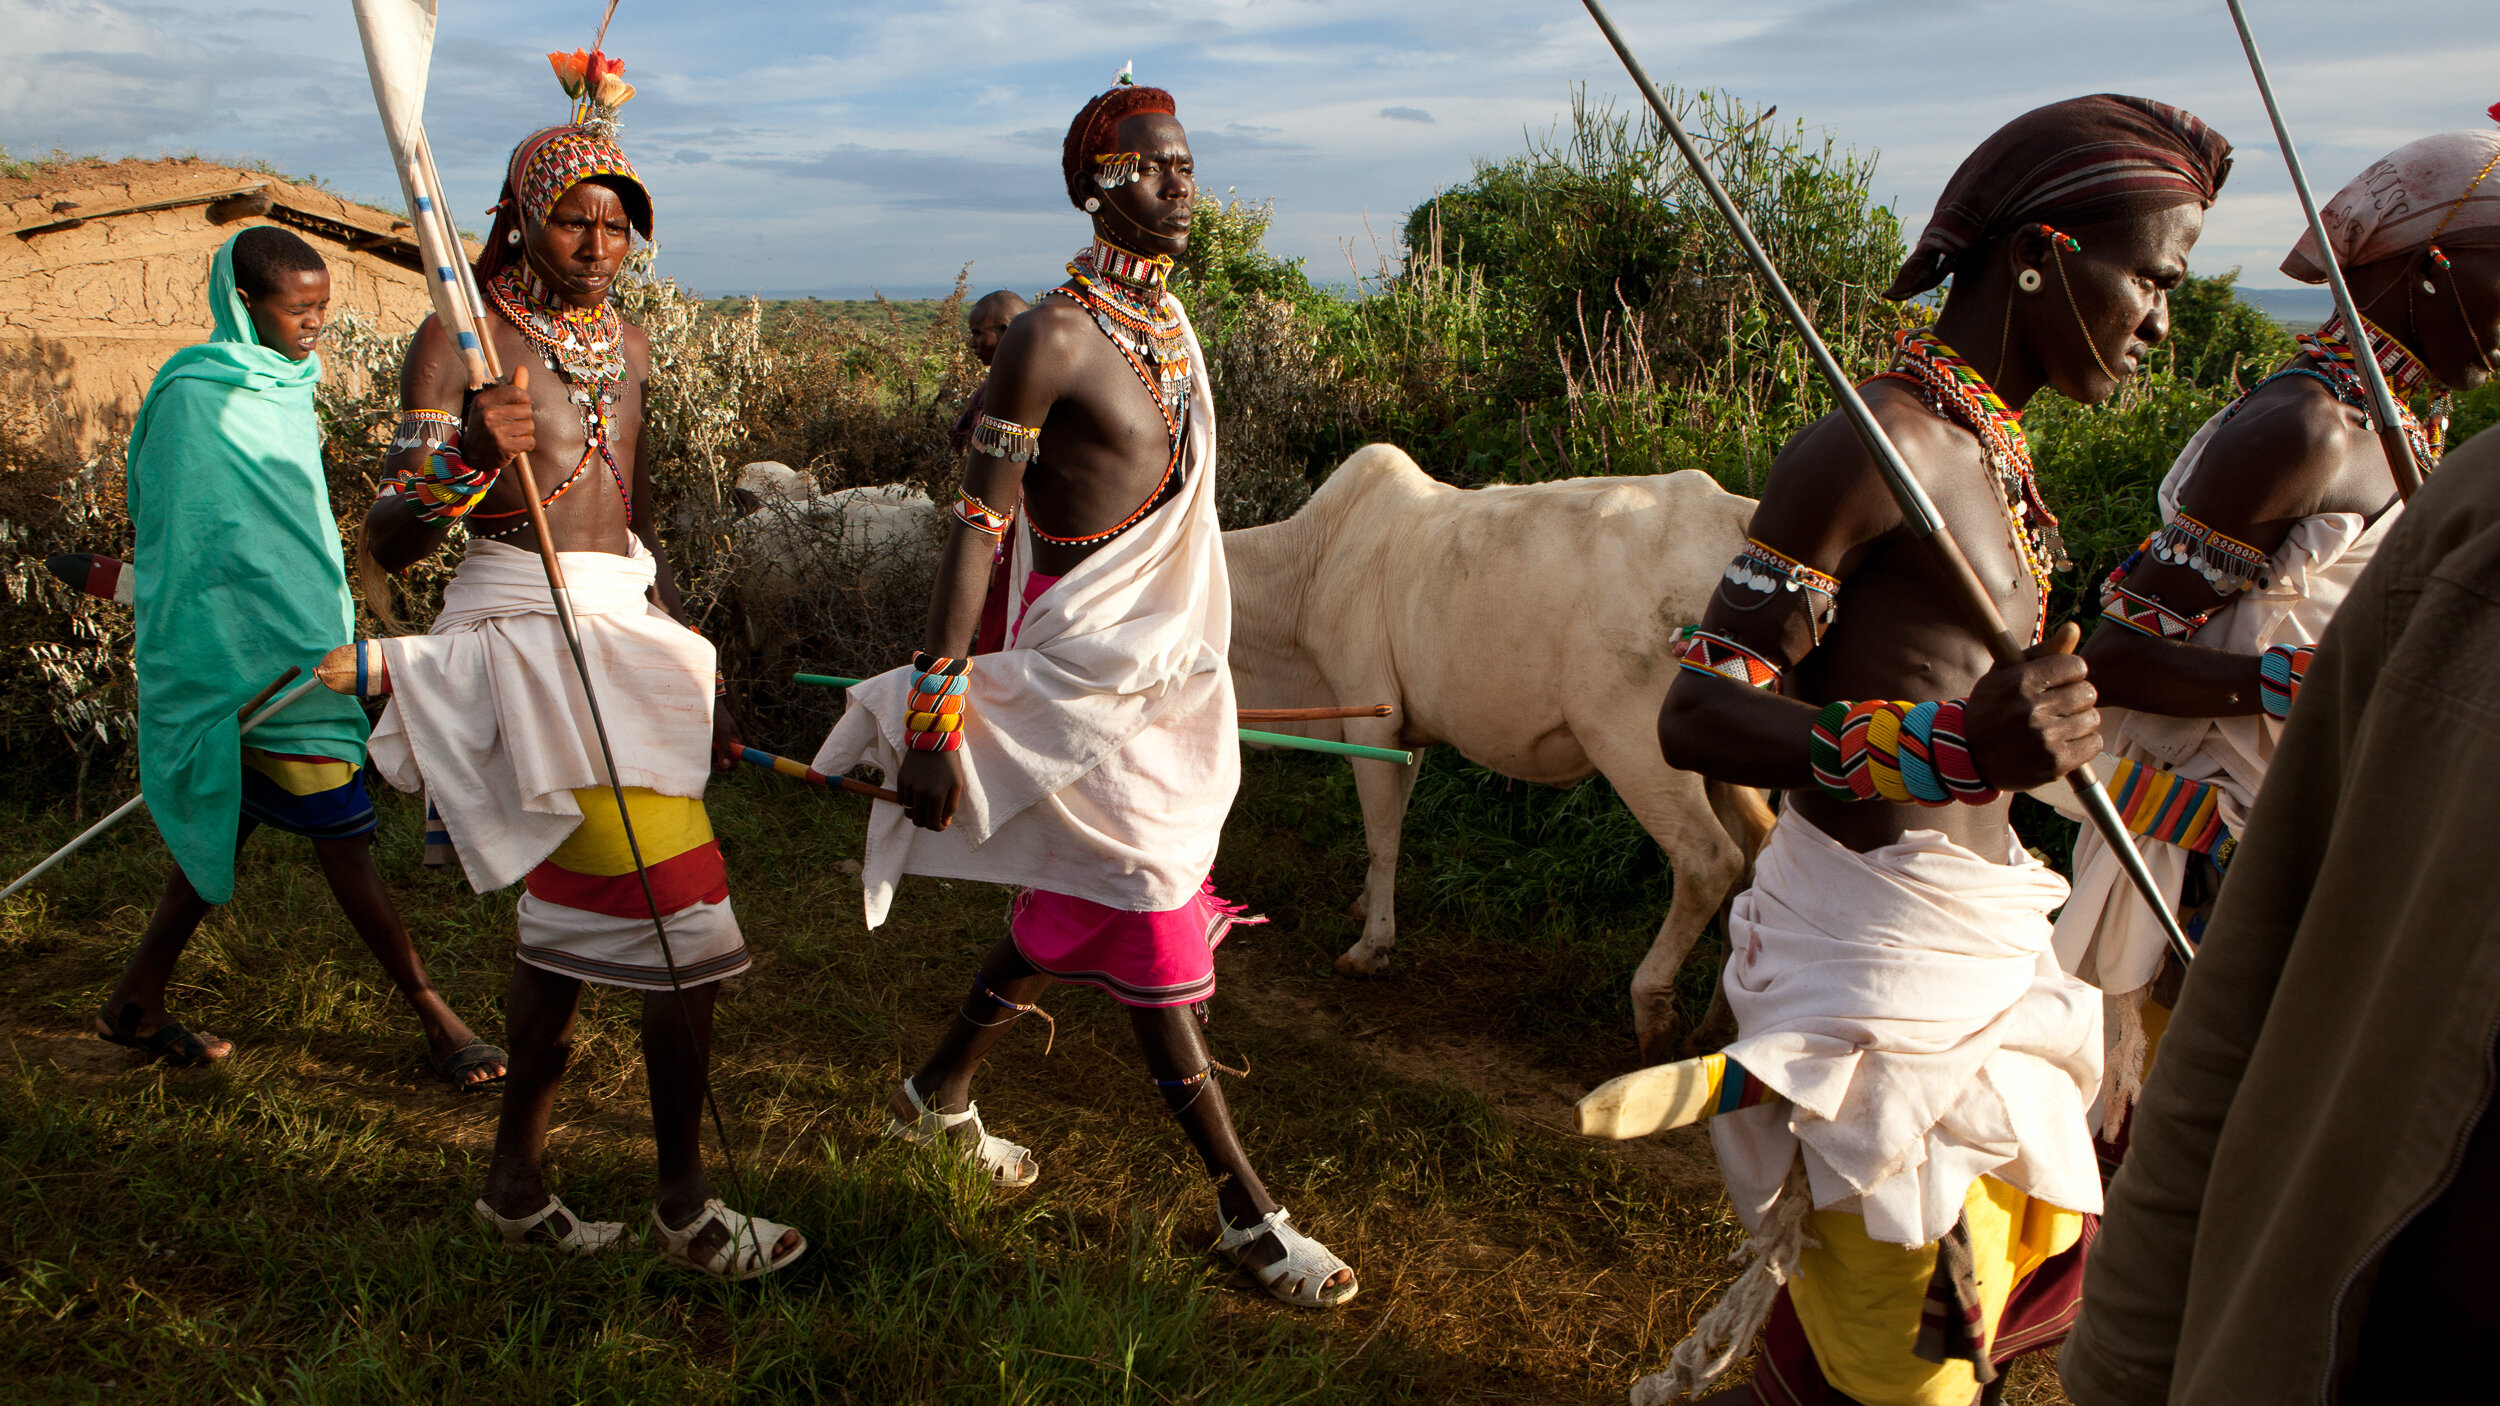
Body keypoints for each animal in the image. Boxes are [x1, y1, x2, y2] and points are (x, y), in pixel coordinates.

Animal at [1220, 442, 1770, 1055]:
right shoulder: (1407, 733)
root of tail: (1733, 512)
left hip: (1634, 743)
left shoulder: (1370, 719)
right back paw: (1719, 1026)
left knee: (1710, 860)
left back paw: (1654, 1011)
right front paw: (1366, 905)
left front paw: (1371, 948)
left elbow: (1381, 839)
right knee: (1754, 865)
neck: (1308, 568)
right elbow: (1394, 825)